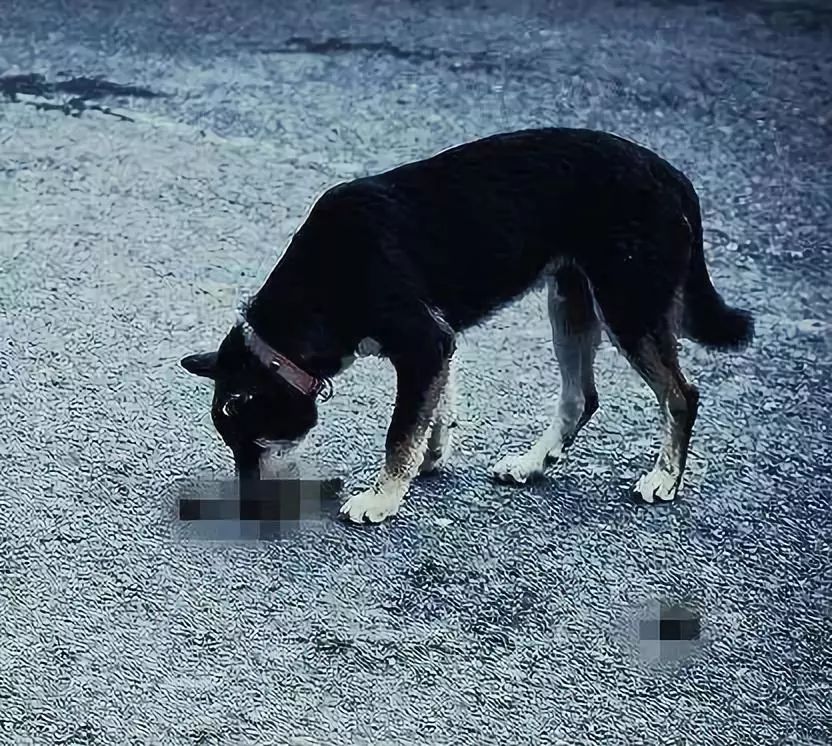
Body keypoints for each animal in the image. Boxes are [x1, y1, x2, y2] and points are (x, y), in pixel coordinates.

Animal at [182, 126, 752, 524]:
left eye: (252, 443)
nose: (247, 507)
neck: (325, 279)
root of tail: (673, 176)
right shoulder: (439, 346)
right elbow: (433, 411)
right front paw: (428, 460)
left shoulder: (424, 343)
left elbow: (400, 430)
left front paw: (382, 497)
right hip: (571, 301)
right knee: (580, 397)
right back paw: (531, 464)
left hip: (628, 305)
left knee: (680, 395)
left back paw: (665, 478)